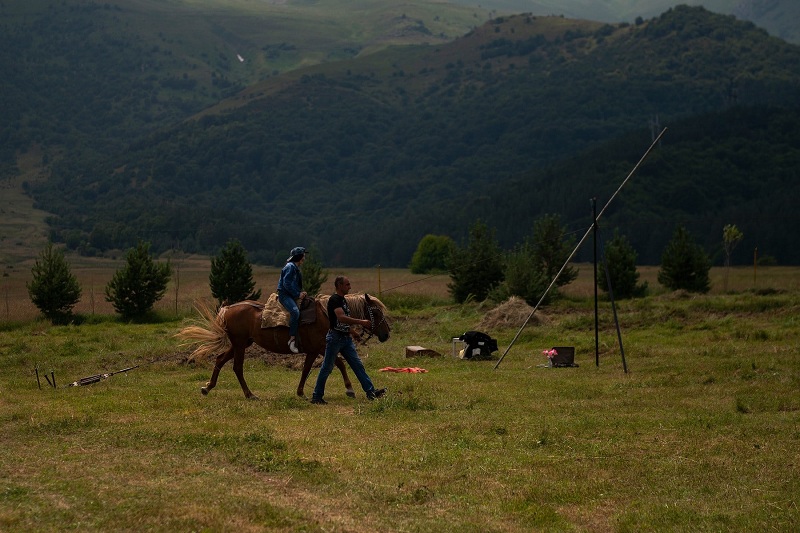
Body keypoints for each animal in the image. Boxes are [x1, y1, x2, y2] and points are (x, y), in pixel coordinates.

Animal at [177, 296, 390, 400]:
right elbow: (339, 364)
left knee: (220, 360)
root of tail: (228, 309)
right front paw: (349, 389)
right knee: (237, 367)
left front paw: (301, 392)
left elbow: (307, 370)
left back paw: (207, 387)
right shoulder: (321, 347)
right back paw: (249, 394)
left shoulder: (314, 350)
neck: (327, 315)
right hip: (239, 344)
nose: (387, 333)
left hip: (241, 343)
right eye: (377, 312)